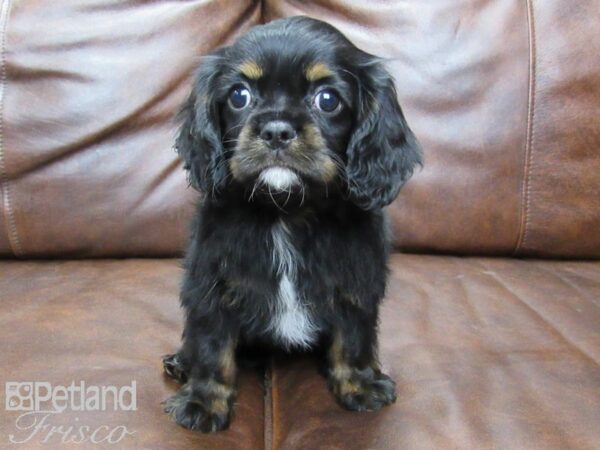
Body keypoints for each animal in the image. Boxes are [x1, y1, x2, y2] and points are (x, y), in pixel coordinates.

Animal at [162, 16, 420, 432]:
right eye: (239, 96)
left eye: (327, 100)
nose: (277, 130)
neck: (285, 210)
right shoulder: (211, 285)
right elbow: (211, 346)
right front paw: (203, 402)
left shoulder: (357, 282)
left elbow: (353, 337)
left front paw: (359, 385)